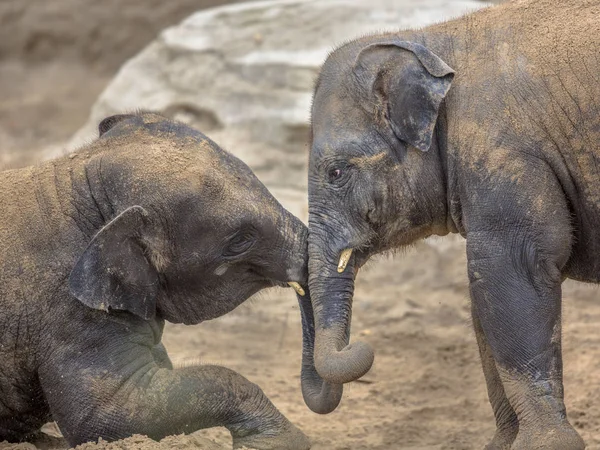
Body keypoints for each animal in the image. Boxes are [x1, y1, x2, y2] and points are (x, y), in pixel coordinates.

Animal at [308, 1, 600, 448]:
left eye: (336, 173)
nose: (362, 347)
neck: (433, 42)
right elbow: (484, 299)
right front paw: (503, 445)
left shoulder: (505, 156)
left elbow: (511, 272)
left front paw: (547, 444)